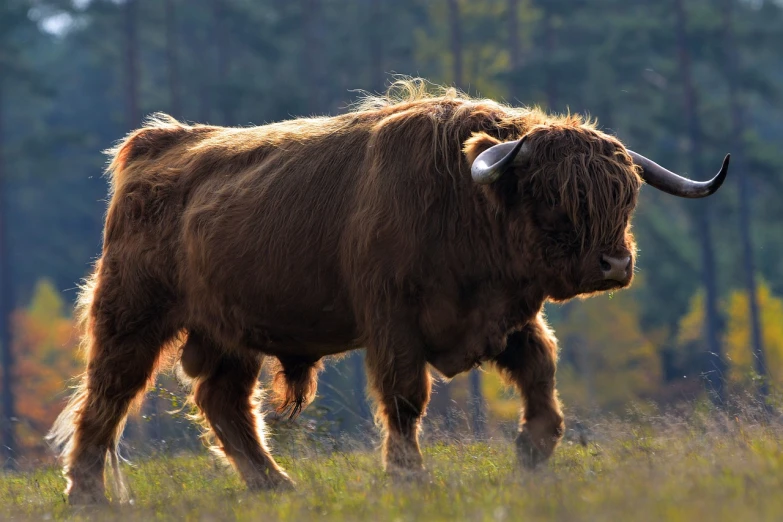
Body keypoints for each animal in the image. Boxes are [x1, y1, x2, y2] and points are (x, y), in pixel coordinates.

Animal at [47, 79, 728, 502]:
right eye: (553, 194)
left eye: (626, 195)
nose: (615, 263)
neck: (466, 199)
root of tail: (153, 145)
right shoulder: (392, 322)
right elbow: (404, 399)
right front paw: (409, 476)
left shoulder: (505, 320)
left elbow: (542, 375)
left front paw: (530, 454)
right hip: (132, 317)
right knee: (105, 398)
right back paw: (86, 494)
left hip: (229, 334)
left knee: (224, 403)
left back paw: (278, 486)